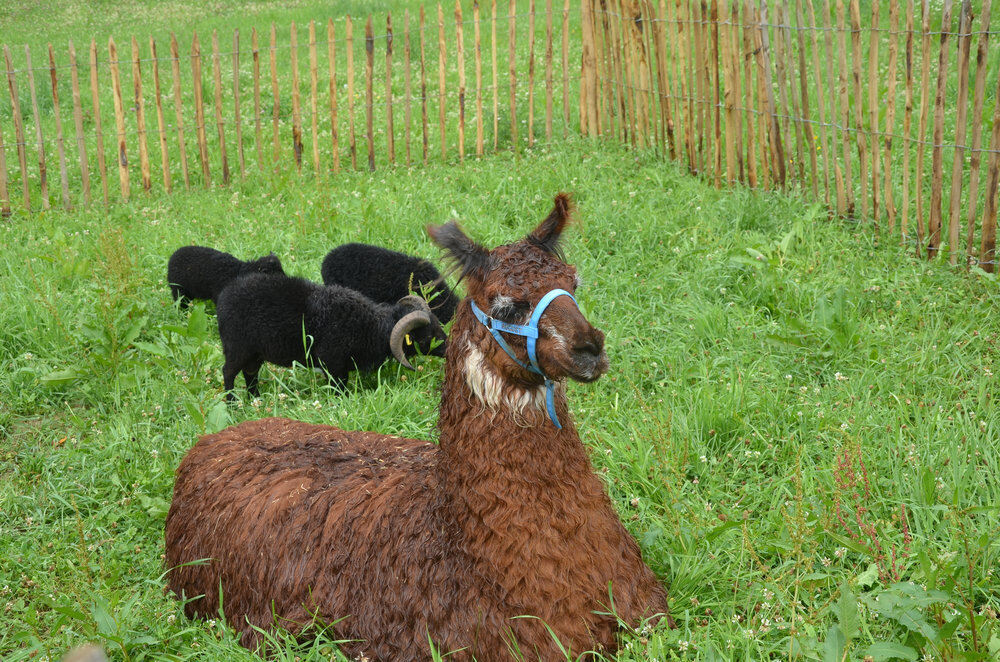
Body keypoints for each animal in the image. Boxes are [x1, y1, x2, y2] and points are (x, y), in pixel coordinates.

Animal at [217, 272, 448, 396]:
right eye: (427, 337)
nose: (448, 348)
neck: (370, 326)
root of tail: (224, 297)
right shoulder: (334, 365)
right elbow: (339, 390)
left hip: (255, 354)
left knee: (250, 373)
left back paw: (254, 399)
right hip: (237, 347)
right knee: (228, 372)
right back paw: (233, 404)